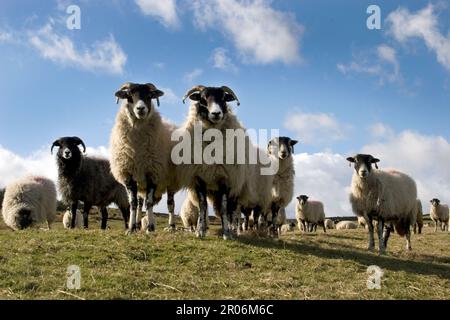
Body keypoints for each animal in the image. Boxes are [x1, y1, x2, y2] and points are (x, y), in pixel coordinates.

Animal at [111, 81, 185, 234]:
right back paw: (138, 224)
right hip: (141, 184)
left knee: (170, 204)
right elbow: (133, 203)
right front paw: (131, 228)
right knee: (140, 204)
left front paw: (150, 228)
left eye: (150, 95)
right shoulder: (129, 175)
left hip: (170, 181)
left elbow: (150, 203)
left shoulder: (153, 173)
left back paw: (171, 226)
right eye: (129, 94)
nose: (140, 109)